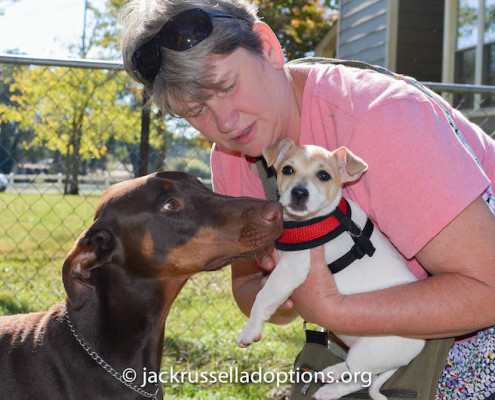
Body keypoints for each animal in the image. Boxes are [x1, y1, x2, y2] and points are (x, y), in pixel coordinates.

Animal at [237, 140, 426, 400]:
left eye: (324, 175)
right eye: (287, 170)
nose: (299, 192)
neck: (311, 221)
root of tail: (419, 344)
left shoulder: (290, 270)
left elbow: (263, 297)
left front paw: (250, 331)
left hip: (366, 352)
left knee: (362, 379)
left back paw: (330, 391)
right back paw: (333, 372)